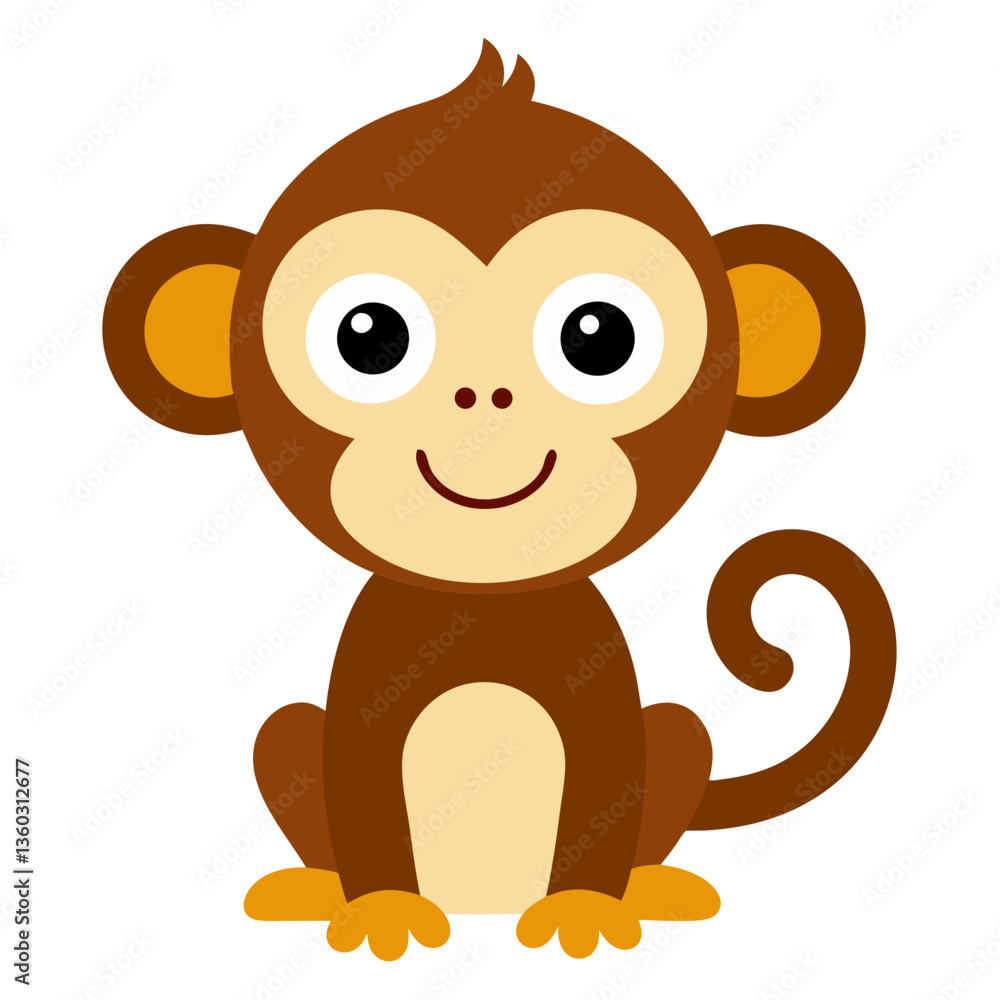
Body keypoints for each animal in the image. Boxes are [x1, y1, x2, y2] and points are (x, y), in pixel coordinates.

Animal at [102, 41, 895, 961]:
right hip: (290, 738)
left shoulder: (596, 687)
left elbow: (607, 787)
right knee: (288, 739)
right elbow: (360, 790)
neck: (486, 605)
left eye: (599, 334)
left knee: (675, 742)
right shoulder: (370, 688)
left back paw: (657, 889)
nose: (484, 395)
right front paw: (382, 909)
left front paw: (585, 908)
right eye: (368, 334)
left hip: (676, 739)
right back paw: (309, 891)